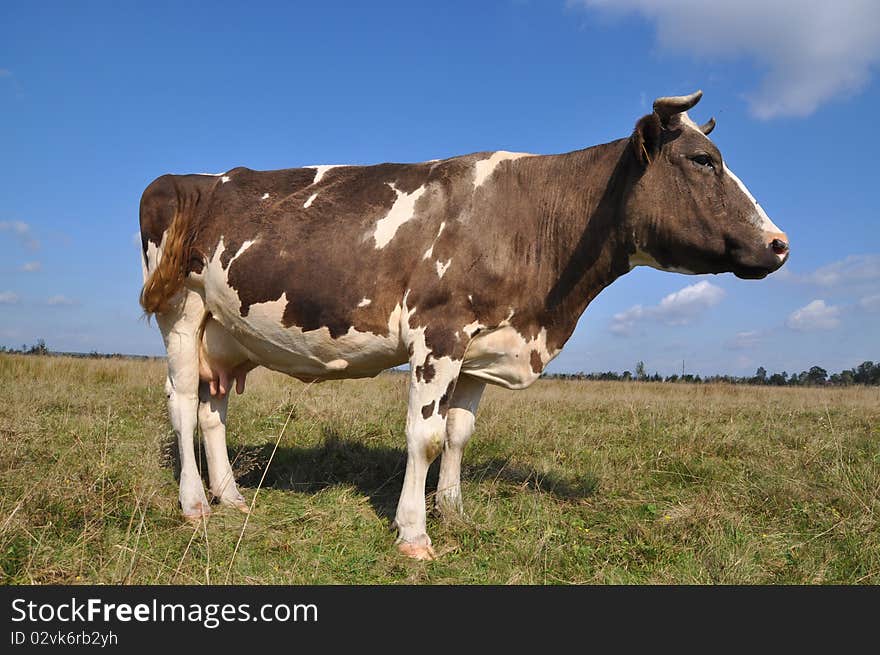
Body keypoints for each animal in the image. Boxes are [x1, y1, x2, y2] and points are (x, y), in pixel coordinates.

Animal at [139, 91, 792, 560]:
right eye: (703, 161)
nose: (780, 244)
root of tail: (185, 179)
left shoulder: (485, 346)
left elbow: (457, 434)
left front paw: (453, 512)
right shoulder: (439, 335)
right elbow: (424, 436)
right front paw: (414, 534)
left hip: (227, 333)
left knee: (213, 410)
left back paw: (232, 496)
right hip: (181, 311)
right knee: (182, 402)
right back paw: (195, 504)